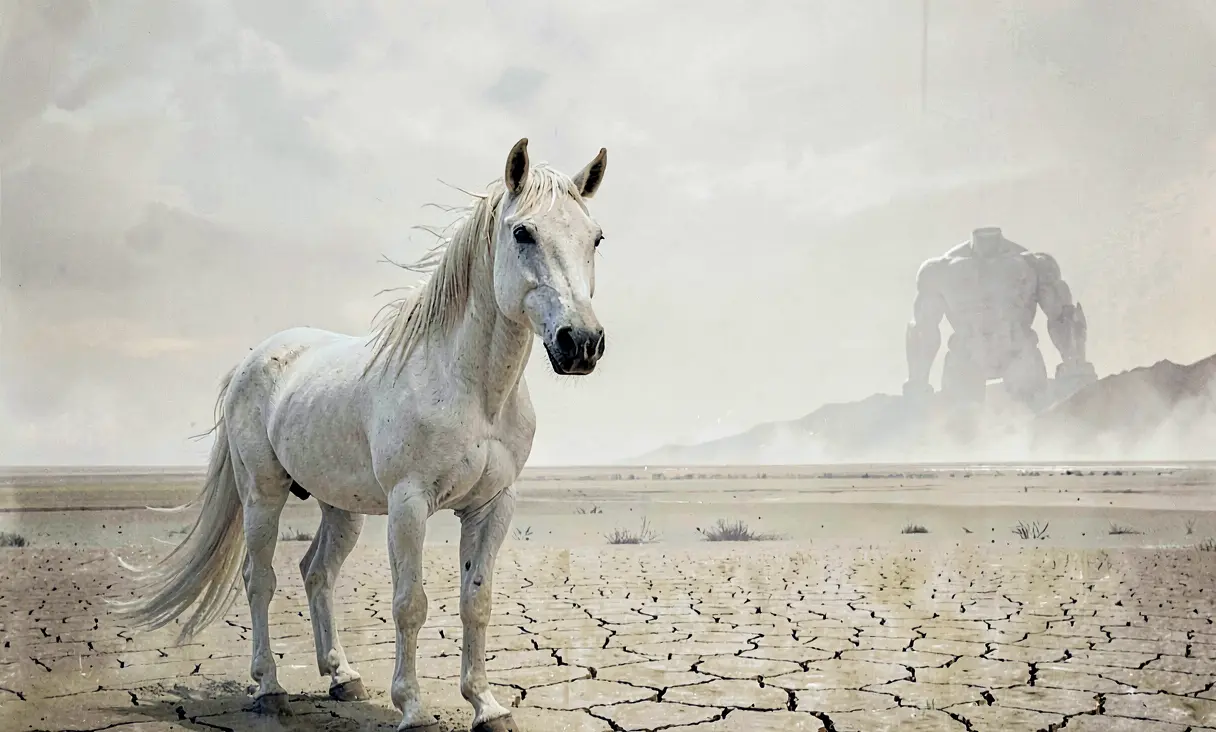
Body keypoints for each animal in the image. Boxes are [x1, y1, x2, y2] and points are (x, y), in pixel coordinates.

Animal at [112, 138, 610, 732]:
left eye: (595, 237)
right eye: (523, 233)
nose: (581, 342)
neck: (471, 389)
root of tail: (255, 358)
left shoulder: (493, 506)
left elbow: (477, 603)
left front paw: (487, 706)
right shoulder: (409, 504)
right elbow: (409, 604)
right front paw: (412, 707)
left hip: (339, 508)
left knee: (316, 573)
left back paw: (341, 676)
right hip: (263, 495)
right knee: (260, 580)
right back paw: (270, 689)